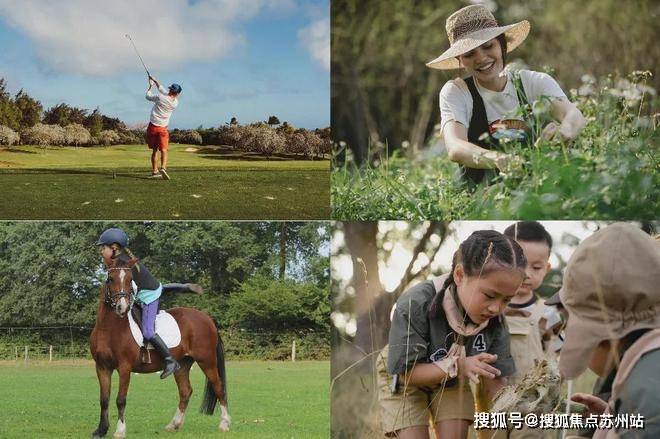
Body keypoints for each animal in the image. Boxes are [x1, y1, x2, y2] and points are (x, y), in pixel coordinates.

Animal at [90, 256, 229, 438]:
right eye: (110, 279)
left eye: (130, 280)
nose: (122, 307)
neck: (108, 328)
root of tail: (207, 318)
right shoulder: (102, 367)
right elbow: (104, 399)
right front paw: (101, 430)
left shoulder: (124, 367)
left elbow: (120, 399)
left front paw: (120, 431)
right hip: (182, 365)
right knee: (185, 391)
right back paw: (173, 424)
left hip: (207, 361)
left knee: (218, 387)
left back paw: (224, 424)